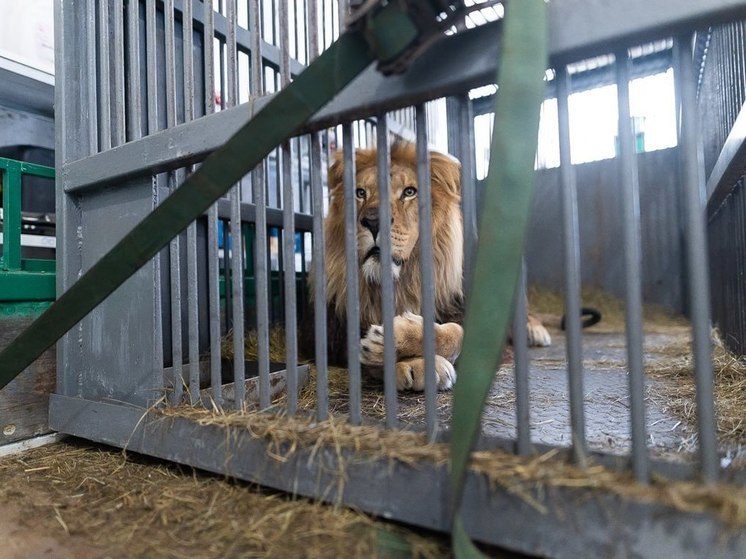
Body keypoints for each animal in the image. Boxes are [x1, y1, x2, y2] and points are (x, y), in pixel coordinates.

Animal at [302, 142, 552, 392]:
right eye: (360, 193)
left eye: (409, 192)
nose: (372, 221)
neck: (399, 282)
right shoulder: (331, 334)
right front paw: (411, 362)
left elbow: (456, 332)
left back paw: (535, 330)